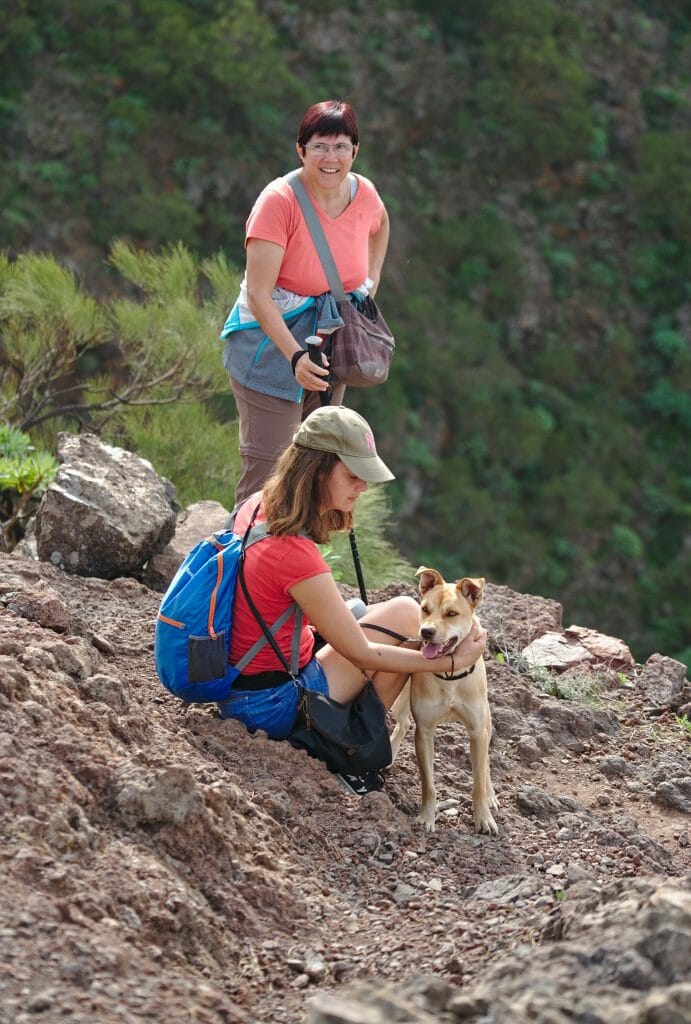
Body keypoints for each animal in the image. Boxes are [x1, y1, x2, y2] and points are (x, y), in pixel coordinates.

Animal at [391, 565, 499, 835]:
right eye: (425, 609)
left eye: (452, 613)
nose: (426, 632)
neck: (450, 676)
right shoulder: (424, 731)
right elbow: (428, 783)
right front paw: (426, 818)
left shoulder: (477, 731)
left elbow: (478, 782)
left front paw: (484, 818)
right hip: (401, 698)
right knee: (402, 723)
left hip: (486, 720)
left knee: (485, 761)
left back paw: (491, 794)